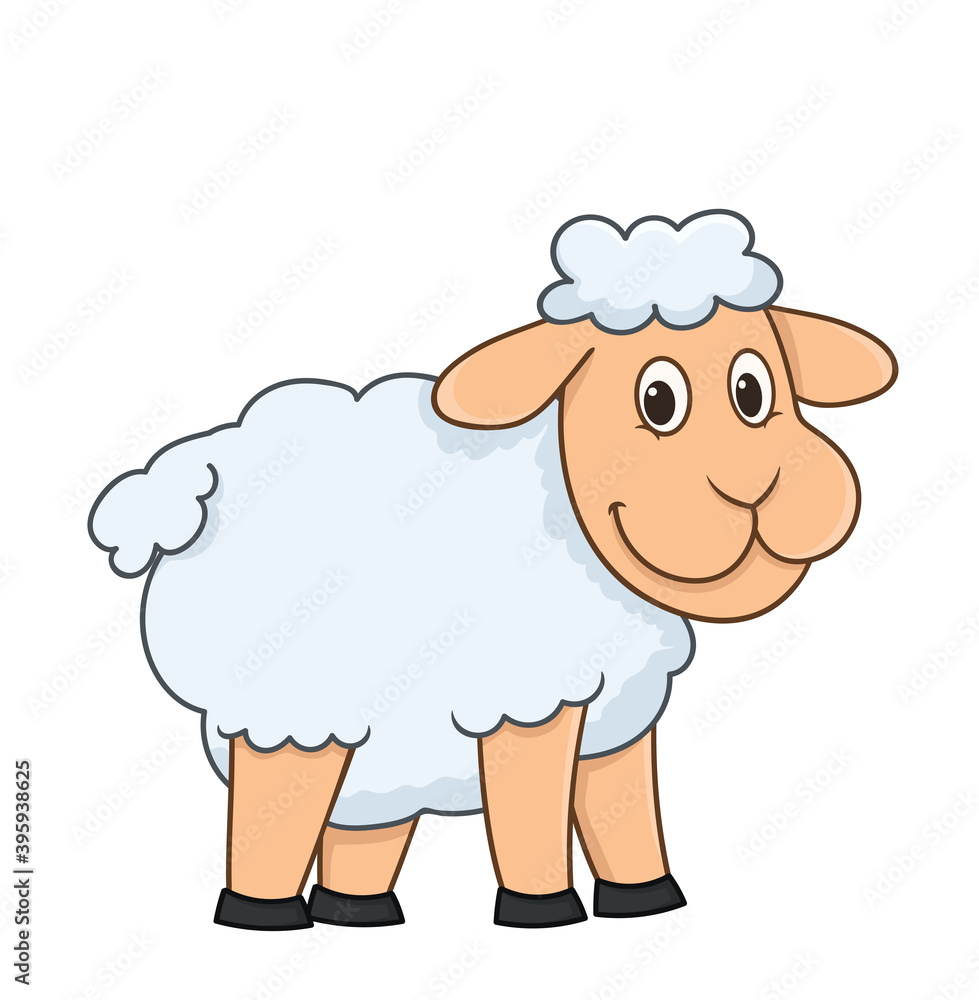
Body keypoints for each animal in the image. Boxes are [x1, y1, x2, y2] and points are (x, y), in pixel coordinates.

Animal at [89, 210, 897, 931]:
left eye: (753, 390)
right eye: (658, 399)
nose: (759, 489)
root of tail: (201, 478)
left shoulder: (622, 713)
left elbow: (625, 814)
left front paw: (648, 900)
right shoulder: (528, 701)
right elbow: (531, 812)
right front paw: (544, 912)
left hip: (374, 744)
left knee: (359, 826)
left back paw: (360, 915)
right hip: (288, 718)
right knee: (277, 807)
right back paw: (265, 918)